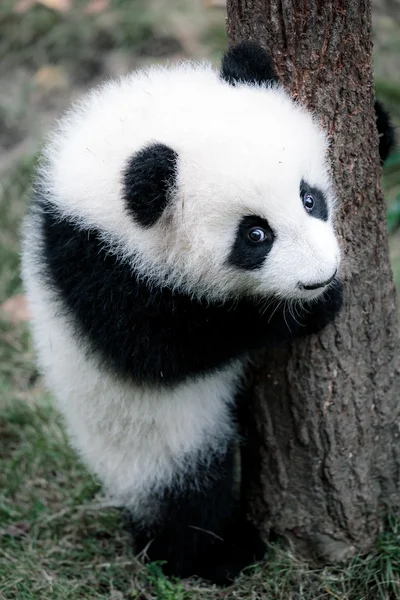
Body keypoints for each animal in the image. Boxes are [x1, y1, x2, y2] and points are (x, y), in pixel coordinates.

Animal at [21, 41, 394, 580]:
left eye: (310, 198)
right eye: (255, 235)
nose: (320, 275)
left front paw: (381, 127)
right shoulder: (96, 266)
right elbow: (160, 351)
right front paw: (300, 312)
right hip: (150, 436)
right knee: (188, 493)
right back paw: (215, 554)